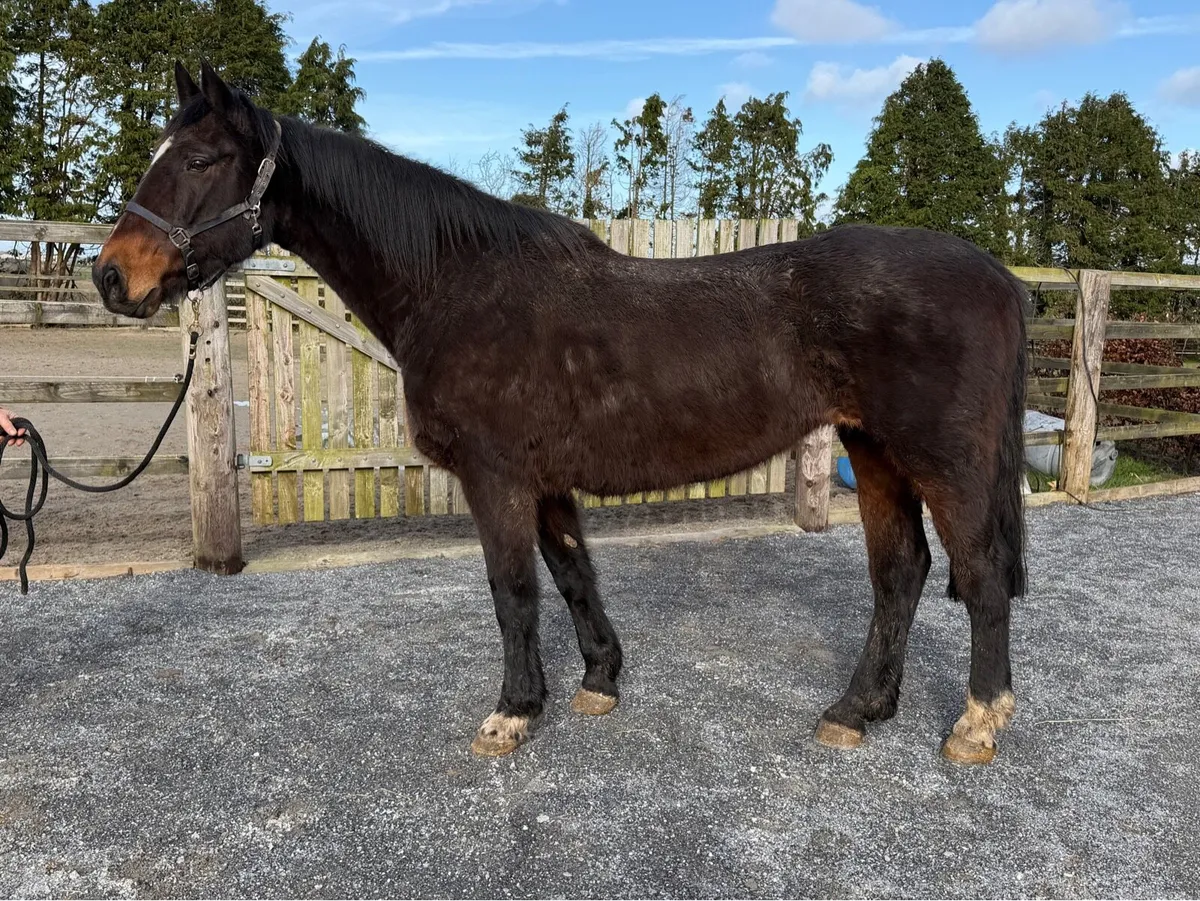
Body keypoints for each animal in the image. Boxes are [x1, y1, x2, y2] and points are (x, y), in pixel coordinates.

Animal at [93, 62, 1029, 766]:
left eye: (203, 159)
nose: (111, 276)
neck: (458, 285)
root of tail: (996, 273)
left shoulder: (496, 475)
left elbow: (513, 590)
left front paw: (512, 711)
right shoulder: (542, 480)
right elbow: (574, 571)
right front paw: (599, 681)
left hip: (941, 459)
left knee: (979, 574)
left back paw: (976, 724)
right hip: (874, 450)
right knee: (900, 571)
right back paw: (857, 709)